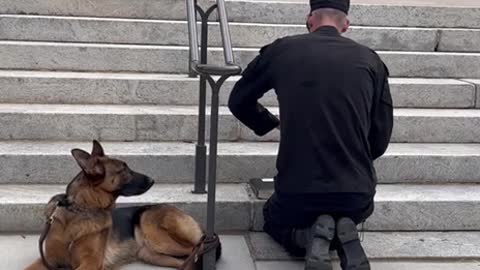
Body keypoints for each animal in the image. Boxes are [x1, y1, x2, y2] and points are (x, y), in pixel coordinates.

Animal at [25, 141, 220, 270]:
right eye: (124, 170)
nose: (153, 179)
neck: (80, 210)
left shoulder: (90, 262)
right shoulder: (48, 259)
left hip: (151, 227)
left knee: (199, 247)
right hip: (153, 255)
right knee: (188, 261)